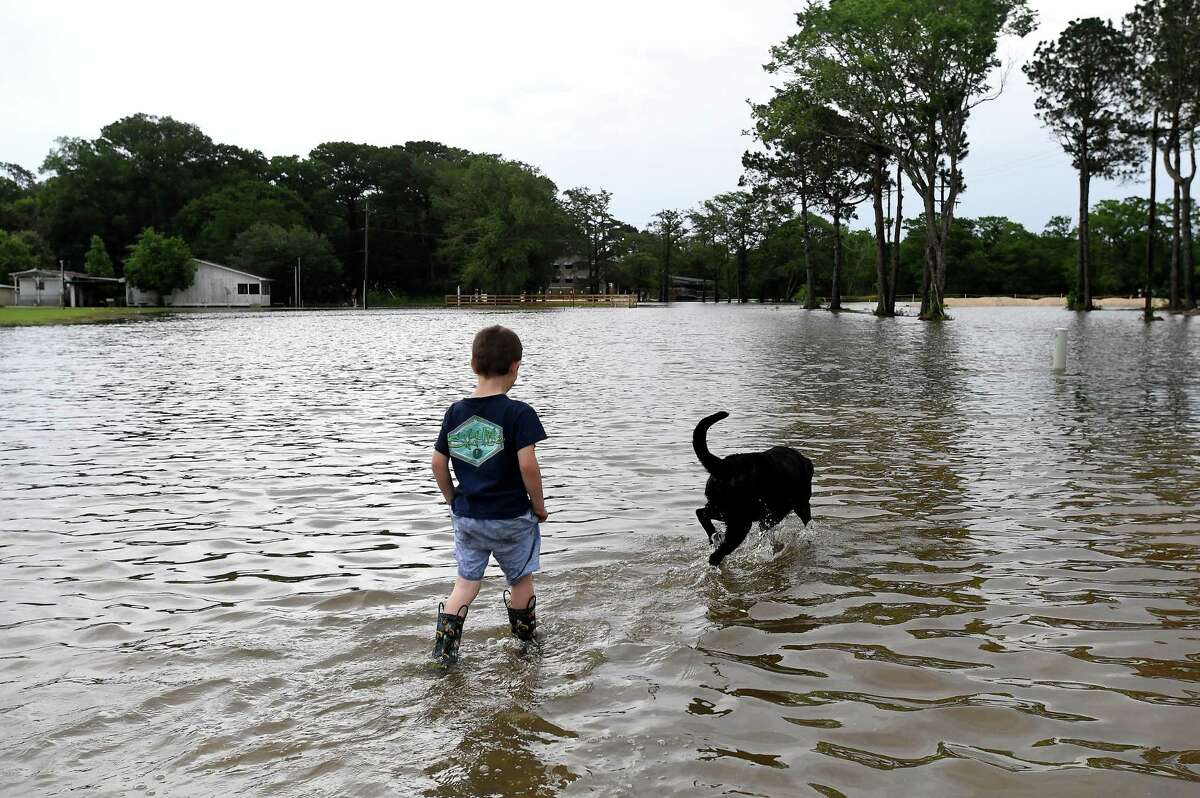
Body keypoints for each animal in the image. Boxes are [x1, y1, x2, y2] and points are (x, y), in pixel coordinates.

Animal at [696, 410, 816, 566]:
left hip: (720, 509)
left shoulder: (768, 517)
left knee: (701, 513)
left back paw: (713, 535)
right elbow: (807, 524)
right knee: (717, 554)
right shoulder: (798, 505)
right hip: (740, 522)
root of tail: (724, 466)